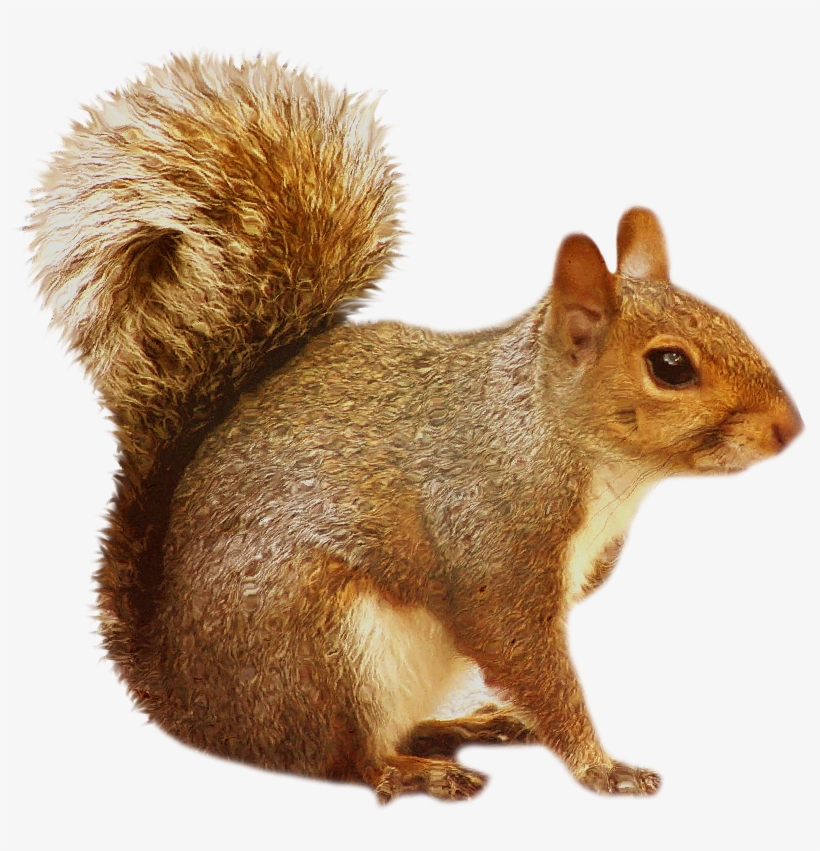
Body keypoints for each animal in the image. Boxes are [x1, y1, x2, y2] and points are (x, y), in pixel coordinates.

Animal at [30, 54, 802, 803]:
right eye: (670, 365)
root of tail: (187, 698)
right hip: (322, 642)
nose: (790, 428)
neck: (566, 442)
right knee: (341, 757)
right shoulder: (493, 541)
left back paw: (461, 727)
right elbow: (525, 655)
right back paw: (413, 770)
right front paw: (602, 768)